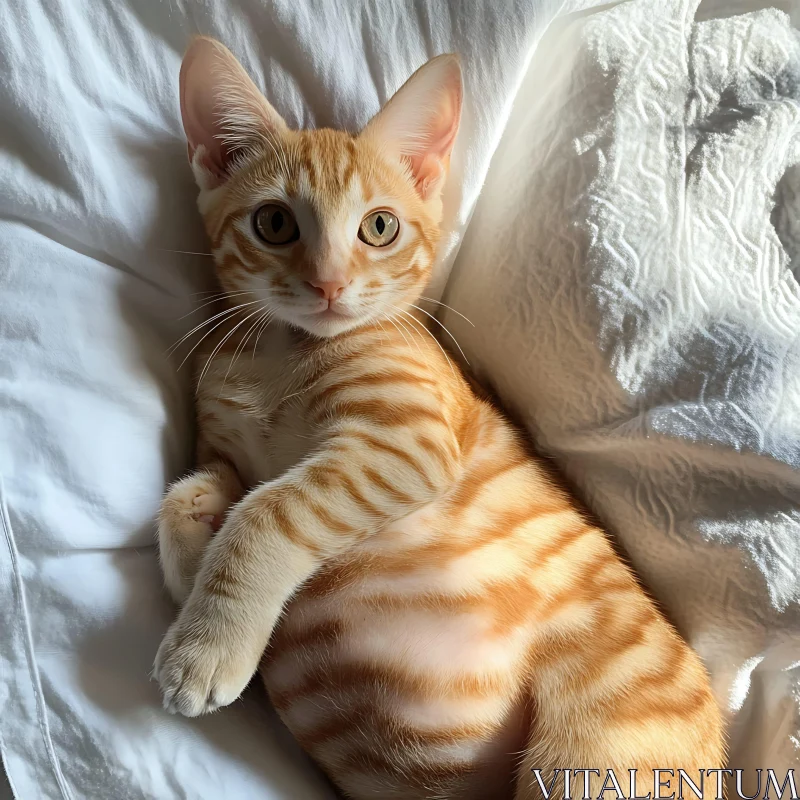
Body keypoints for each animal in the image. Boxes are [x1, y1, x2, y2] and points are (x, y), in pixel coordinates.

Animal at [155, 37, 724, 800]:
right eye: (274, 223)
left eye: (379, 227)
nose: (329, 284)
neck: (278, 352)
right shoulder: (224, 453)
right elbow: (188, 494)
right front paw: (196, 582)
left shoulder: (405, 444)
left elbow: (266, 513)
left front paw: (206, 645)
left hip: (590, 754)